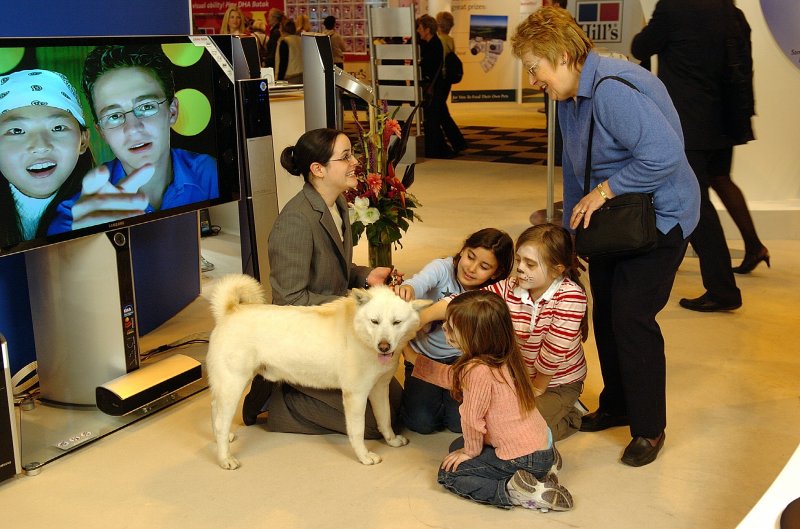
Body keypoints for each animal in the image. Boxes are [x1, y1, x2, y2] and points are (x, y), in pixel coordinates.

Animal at [208, 274, 432, 468]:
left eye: (396, 322)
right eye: (374, 321)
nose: (383, 346)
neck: (359, 334)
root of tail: (229, 311)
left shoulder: (379, 388)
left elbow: (385, 420)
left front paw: (391, 440)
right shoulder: (356, 395)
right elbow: (357, 431)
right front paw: (363, 456)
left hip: (227, 386)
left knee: (216, 410)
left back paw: (222, 441)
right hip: (234, 384)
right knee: (220, 422)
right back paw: (225, 457)